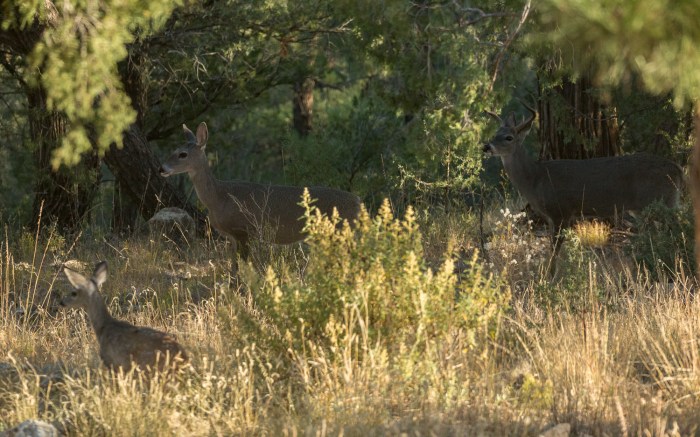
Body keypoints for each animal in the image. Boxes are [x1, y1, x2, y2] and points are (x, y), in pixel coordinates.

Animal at [159, 122, 362, 256]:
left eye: (182, 154)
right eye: (174, 150)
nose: (162, 169)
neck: (218, 197)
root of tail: (358, 202)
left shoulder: (243, 230)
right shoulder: (234, 237)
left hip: (342, 231)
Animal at [483, 104, 684, 261]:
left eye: (509, 137)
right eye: (495, 134)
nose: (486, 146)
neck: (535, 179)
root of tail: (678, 169)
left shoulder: (561, 211)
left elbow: (554, 253)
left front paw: (547, 279)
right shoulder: (553, 218)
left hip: (659, 201)